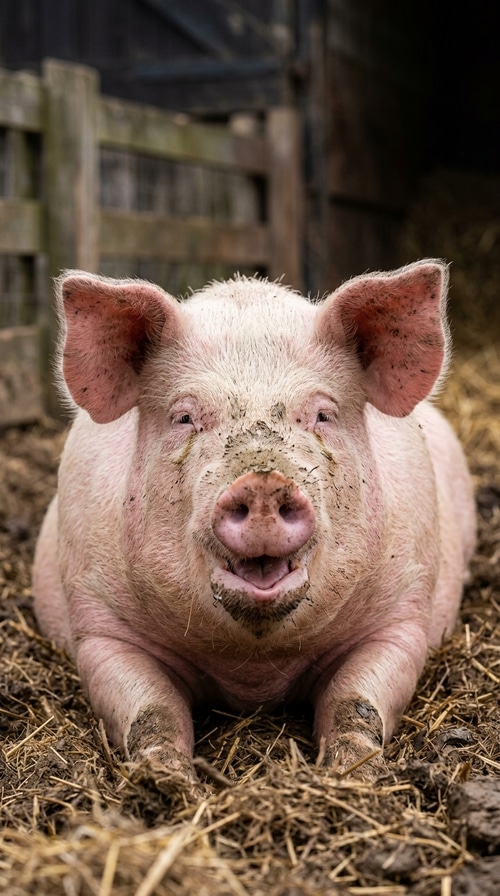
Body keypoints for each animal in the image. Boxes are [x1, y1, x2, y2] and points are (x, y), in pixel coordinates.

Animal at [32, 260, 475, 784]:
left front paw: (349, 774)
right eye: (184, 417)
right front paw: (169, 782)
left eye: (323, 414)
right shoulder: (99, 623)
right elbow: (152, 712)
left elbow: (356, 701)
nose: (263, 482)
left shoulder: (403, 613)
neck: (254, 671)